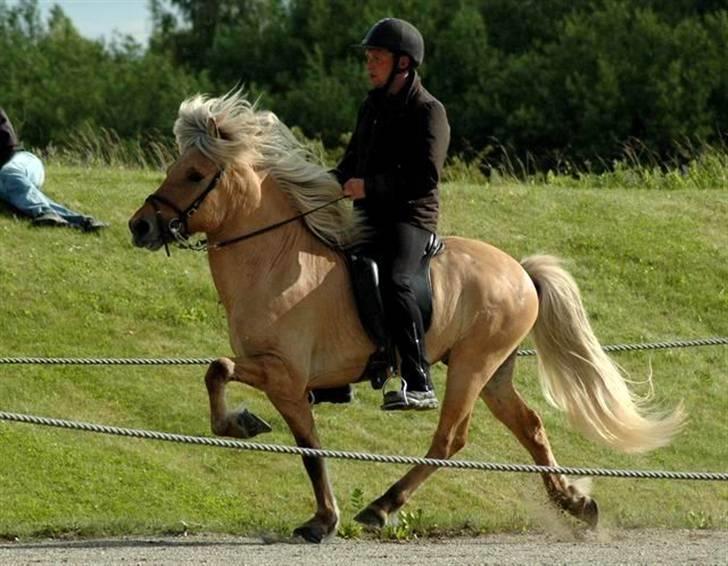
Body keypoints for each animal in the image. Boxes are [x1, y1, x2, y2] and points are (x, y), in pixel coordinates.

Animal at [128, 91, 684, 544]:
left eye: (194, 174)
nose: (141, 226)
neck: (275, 261)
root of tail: (521, 273)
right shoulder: (283, 379)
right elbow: (273, 416)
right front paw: (302, 495)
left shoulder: (284, 375)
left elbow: (274, 418)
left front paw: (311, 507)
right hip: (493, 371)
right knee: (530, 426)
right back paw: (576, 504)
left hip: (471, 367)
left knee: (450, 438)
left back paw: (382, 506)